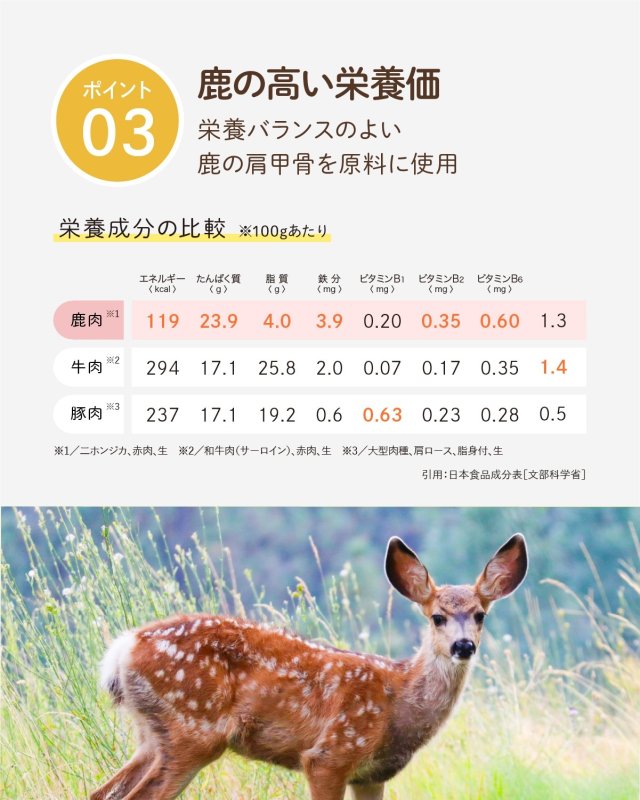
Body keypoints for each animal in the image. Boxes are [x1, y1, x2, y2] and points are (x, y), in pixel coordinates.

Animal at [91, 533, 527, 800]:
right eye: (437, 617)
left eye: (480, 615)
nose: (463, 645)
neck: (397, 701)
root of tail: (123, 648)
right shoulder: (330, 753)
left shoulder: (372, 774)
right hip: (193, 729)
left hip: (152, 733)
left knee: (102, 792)